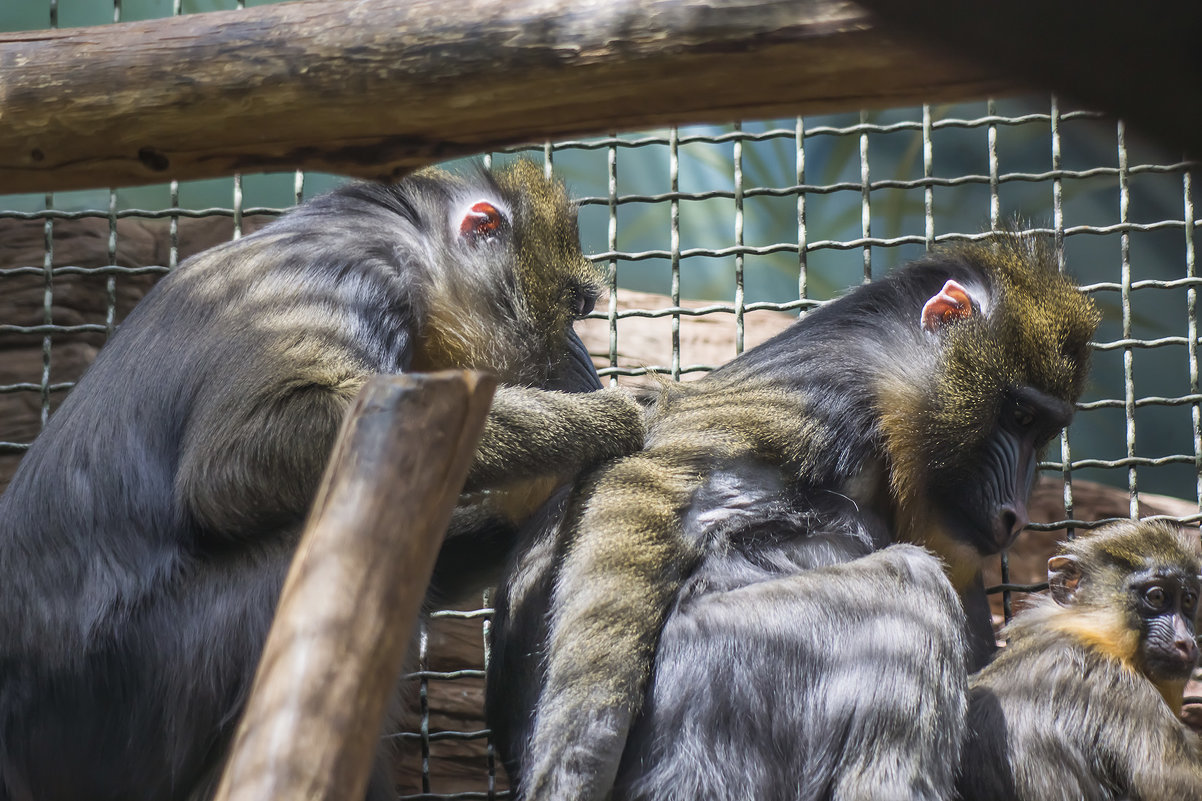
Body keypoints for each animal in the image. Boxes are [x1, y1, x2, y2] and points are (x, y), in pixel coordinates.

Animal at [0, 158, 649, 798]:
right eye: (575, 310)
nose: (584, 359)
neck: (411, 243)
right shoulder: (349, 281)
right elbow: (230, 464)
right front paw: (611, 422)